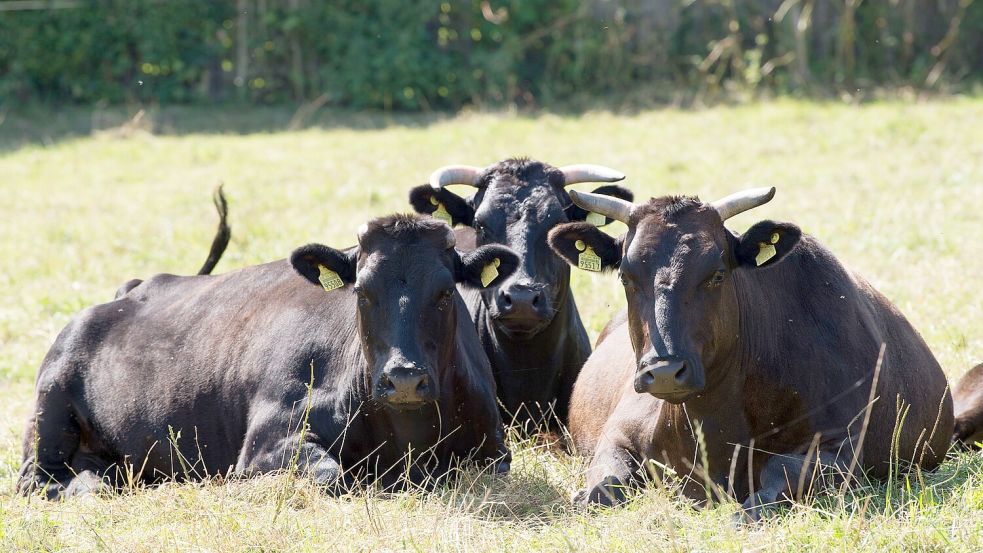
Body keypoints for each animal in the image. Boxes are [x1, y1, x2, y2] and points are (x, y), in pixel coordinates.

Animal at [19, 213, 520, 498]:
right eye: (362, 291)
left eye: (445, 292)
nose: (403, 379)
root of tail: (131, 290)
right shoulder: (266, 441)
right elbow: (332, 476)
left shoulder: (496, 450)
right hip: (49, 411)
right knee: (37, 480)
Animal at [544, 188, 952, 520]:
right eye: (626, 277)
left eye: (717, 273)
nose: (664, 371)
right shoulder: (617, 432)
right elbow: (603, 486)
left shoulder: (843, 447)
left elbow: (779, 474)